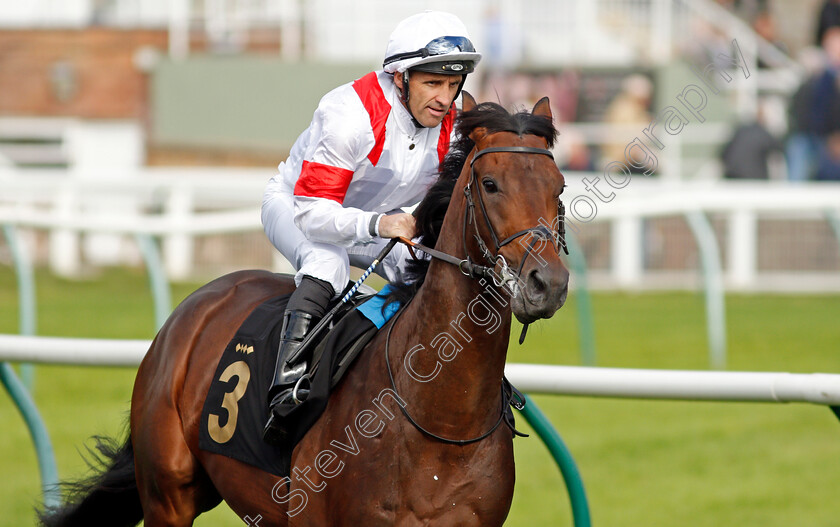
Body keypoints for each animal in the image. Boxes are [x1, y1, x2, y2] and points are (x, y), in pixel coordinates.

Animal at [37, 95, 564, 527]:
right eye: (490, 183)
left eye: (558, 186)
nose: (548, 284)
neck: (441, 424)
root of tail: (196, 306)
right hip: (169, 496)